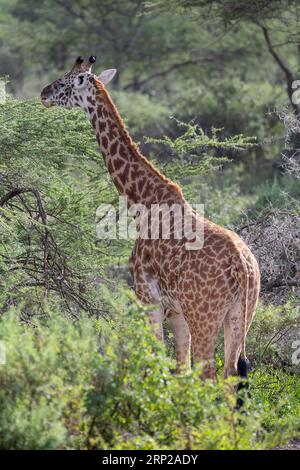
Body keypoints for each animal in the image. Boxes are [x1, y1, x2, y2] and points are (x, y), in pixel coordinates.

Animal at [41, 57, 258, 382]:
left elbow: (157, 363)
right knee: (231, 375)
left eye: (66, 82)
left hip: (205, 315)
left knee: (210, 376)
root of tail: (242, 268)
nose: (43, 93)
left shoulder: (147, 297)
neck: (143, 204)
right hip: (241, 315)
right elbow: (181, 370)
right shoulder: (176, 310)